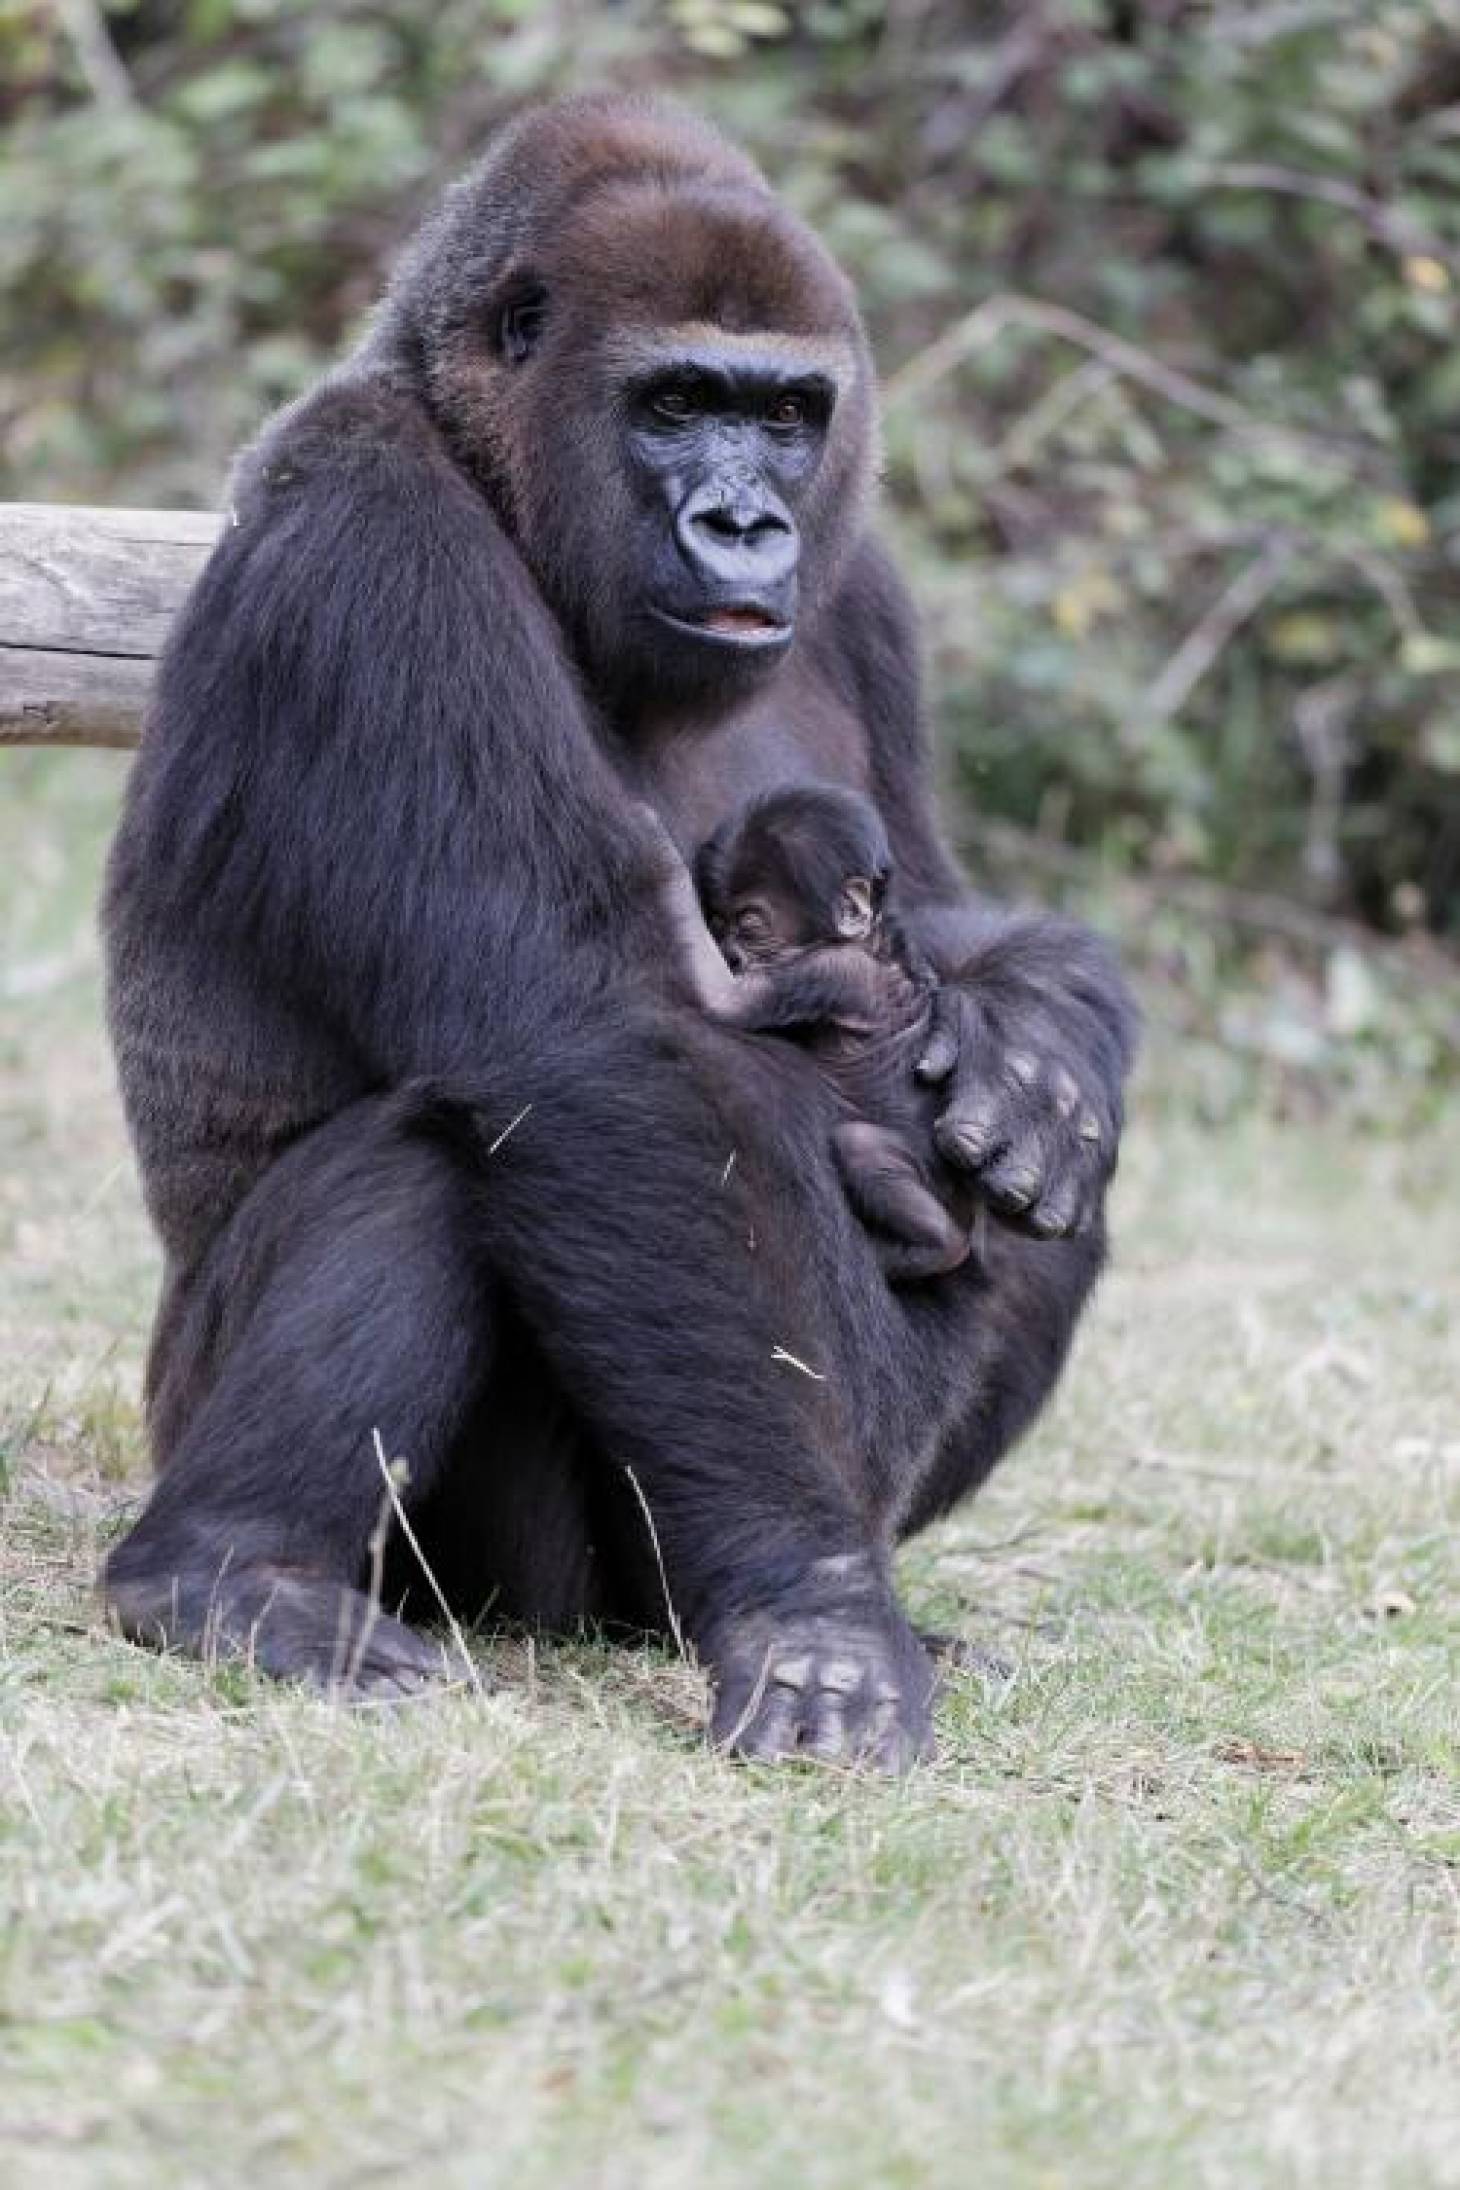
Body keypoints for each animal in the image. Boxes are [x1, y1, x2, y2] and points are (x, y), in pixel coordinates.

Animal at [661, 784, 971, 1278]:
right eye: (718, 924)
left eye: (749, 926)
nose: (730, 954)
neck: (865, 943)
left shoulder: (832, 971)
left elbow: (724, 999)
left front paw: (655, 844)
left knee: (862, 1147)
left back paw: (940, 1247)